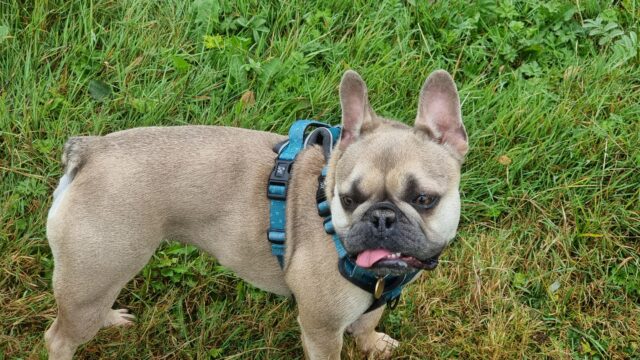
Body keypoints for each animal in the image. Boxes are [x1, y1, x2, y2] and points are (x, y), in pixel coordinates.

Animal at [43, 69, 464, 358]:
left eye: (424, 199)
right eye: (348, 199)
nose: (381, 219)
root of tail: (92, 150)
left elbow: (367, 323)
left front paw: (372, 343)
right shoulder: (321, 328)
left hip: (102, 274)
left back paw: (111, 319)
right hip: (95, 271)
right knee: (60, 336)